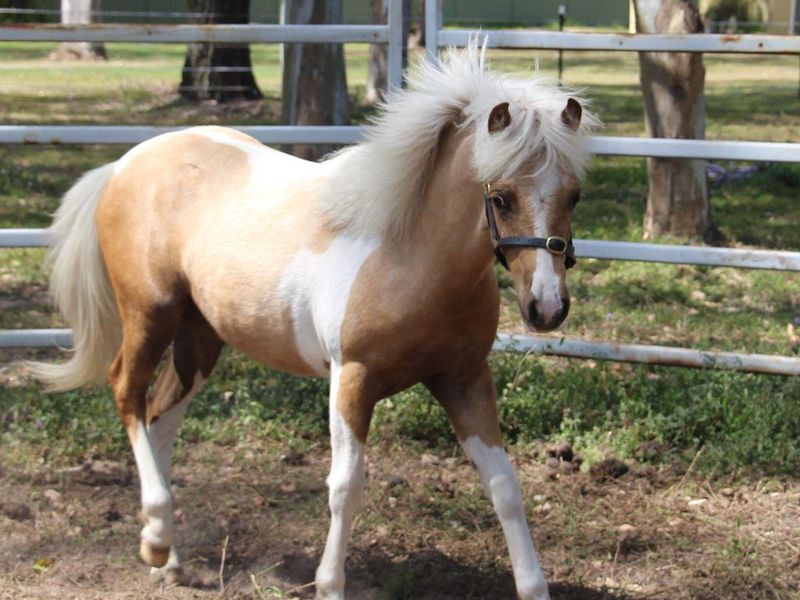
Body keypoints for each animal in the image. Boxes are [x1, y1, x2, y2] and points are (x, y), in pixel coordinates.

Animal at [30, 42, 596, 600]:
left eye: (574, 195)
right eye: (501, 196)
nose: (547, 308)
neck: (408, 254)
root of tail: (123, 165)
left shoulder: (464, 379)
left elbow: (504, 485)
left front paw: (533, 586)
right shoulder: (352, 381)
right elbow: (345, 487)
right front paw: (328, 585)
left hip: (200, 336)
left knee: (160, 416)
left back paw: (167, 557)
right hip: (150, 314)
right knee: (127, 394)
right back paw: (152, 540)